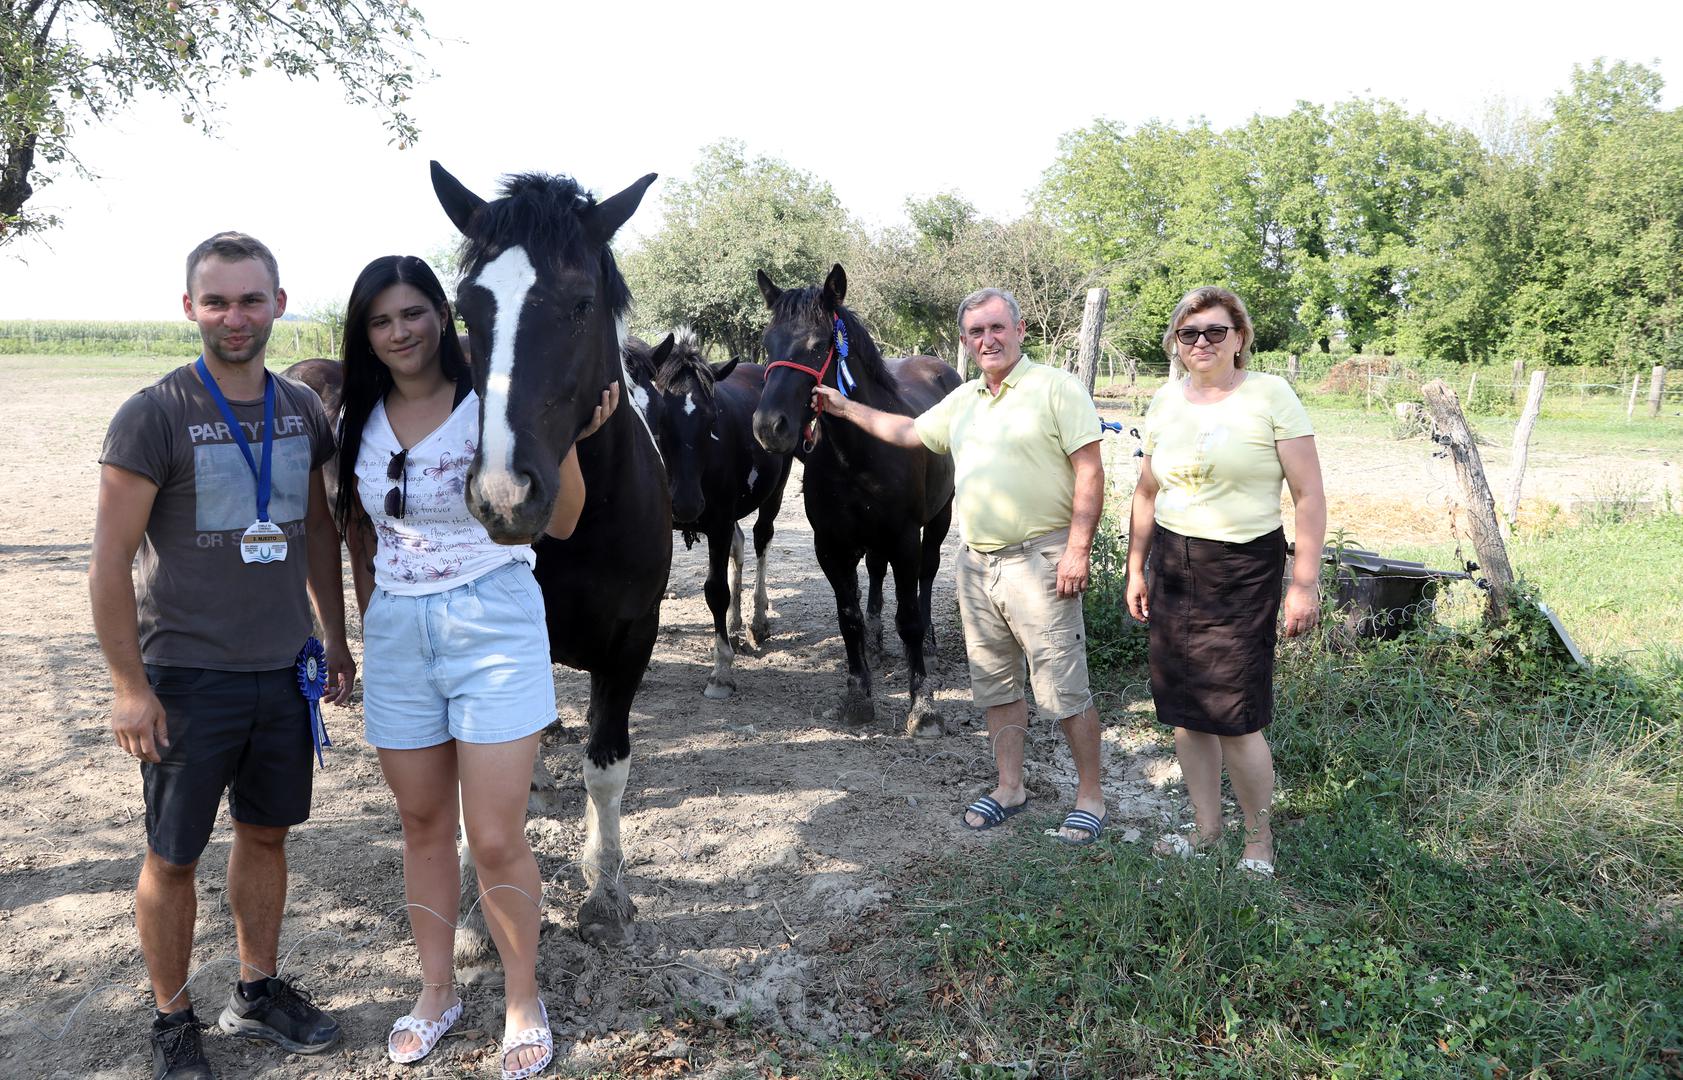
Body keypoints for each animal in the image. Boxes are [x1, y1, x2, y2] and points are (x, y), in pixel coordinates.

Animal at [430, 159, 673, 942]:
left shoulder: (632, 640)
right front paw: (474, 911)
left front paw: (606, 892)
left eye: (581, 303)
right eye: (468, 309)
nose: (505, 493)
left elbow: (606, 764)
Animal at [646, 328, 797, 699]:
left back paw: (757, 621)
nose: (686, 503)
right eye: (659, 419)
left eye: (712, 418)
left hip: (773, 493)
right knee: (739, 547)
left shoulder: (718, 523)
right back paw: (736, 621)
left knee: (760, 540)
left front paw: (721, 672)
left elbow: (716, 591)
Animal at [753, 262, 962, 733]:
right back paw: (878, 640)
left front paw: (923, 708)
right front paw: (857, 696)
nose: (769, 427)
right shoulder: (832, 547)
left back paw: (928, 641)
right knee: (877, 577)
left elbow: (909, 619)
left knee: (927, 575)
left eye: (817, 346)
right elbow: (848, 620)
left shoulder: (905, 540)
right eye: (767, 344)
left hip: (938, 521)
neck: (859, 453)